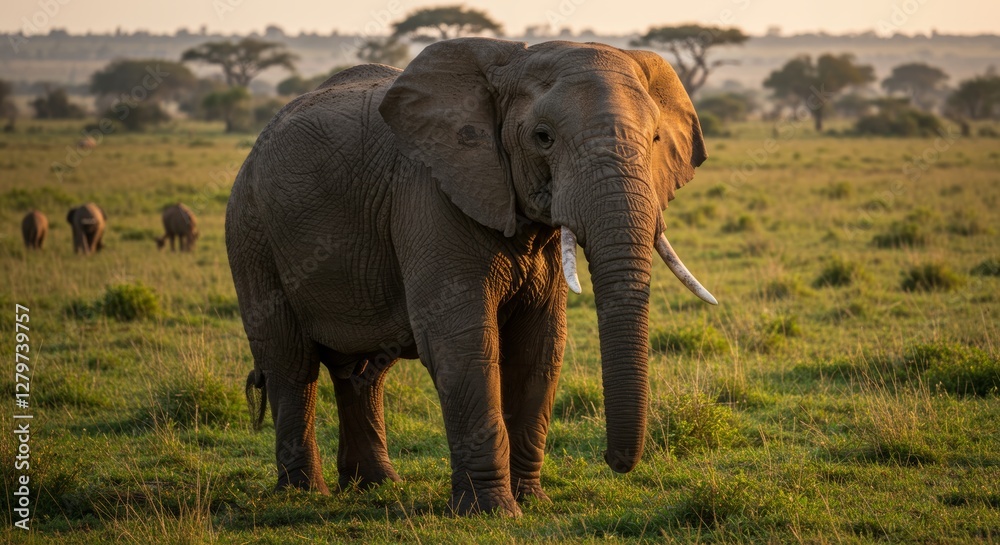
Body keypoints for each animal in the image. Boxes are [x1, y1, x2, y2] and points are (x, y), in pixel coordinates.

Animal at [227, 38, 716, 517]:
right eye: (543, 138)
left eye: (655, 138)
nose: (615, 462)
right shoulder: (428, 195)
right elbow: (462, 343)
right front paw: (493, 512)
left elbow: (539, 347)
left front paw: (532, 502)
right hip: (251, 232)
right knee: (291, 364)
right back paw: (305, 494)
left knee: (364, 371)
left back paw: (376, 487)